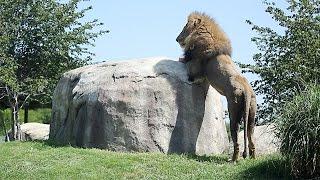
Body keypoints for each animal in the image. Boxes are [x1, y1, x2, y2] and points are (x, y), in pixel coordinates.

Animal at [176, 11, 256, 162]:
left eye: (185, 27)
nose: (177, 39)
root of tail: (247, 89)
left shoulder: (196, 68)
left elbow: (186, 63)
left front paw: (180, 58)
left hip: (233, 109)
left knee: (236, 137)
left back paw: (233, 159)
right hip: (252, 113)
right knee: (251, 137)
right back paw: (253, 158)